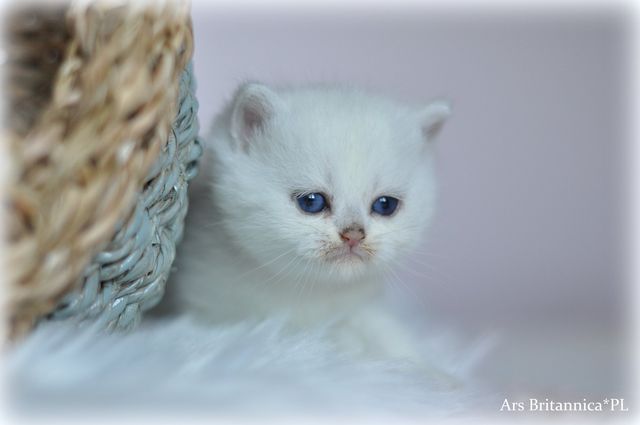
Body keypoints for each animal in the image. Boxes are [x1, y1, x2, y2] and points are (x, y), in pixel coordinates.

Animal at [162, 82, 451, 375]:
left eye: (385, 205)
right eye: (312, 202)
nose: (354, 234)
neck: (308, 291)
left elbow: (386, 333)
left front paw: (433, 373)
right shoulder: (211, 311)